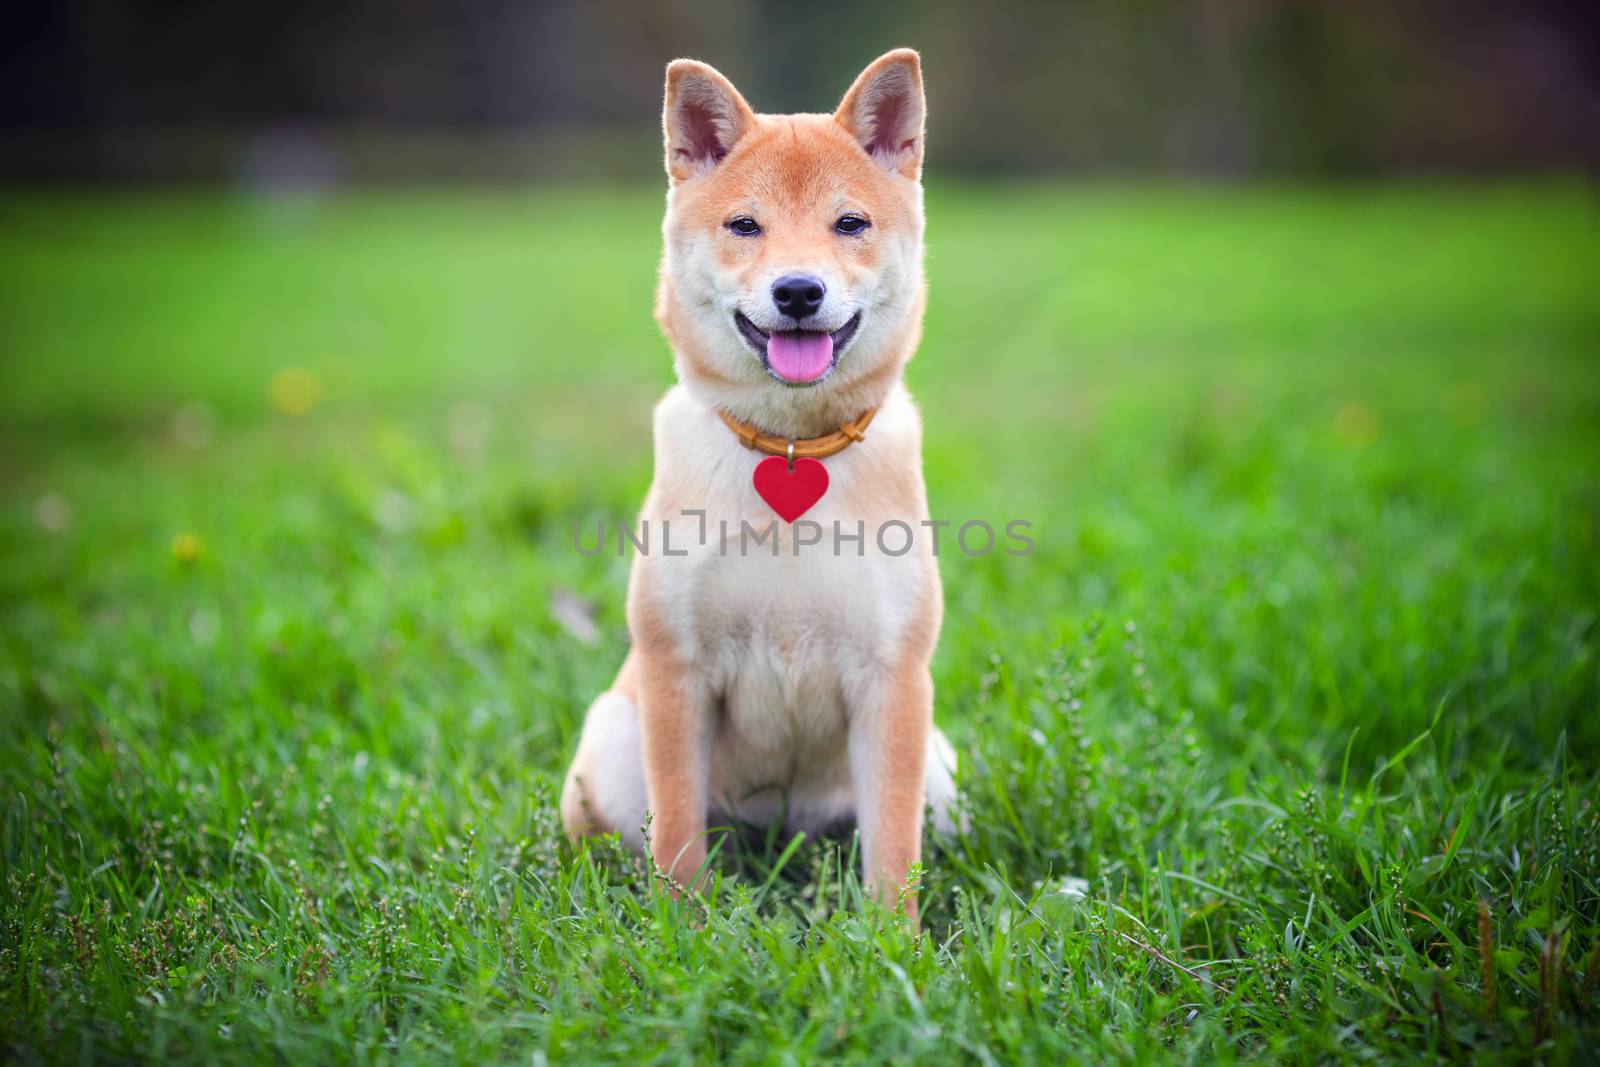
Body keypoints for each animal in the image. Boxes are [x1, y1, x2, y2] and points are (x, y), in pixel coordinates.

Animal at [563, 45, 953, 921]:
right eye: (745, 226)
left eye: (850, 224)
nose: (799, 291)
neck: (791, 444)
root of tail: (780, 834)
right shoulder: (676, 669)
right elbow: (677, 830)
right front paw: (681, 928)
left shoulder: (893, 678)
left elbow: (894, 850)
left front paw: (895, 941)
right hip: (611, 737)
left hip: (944, 769)